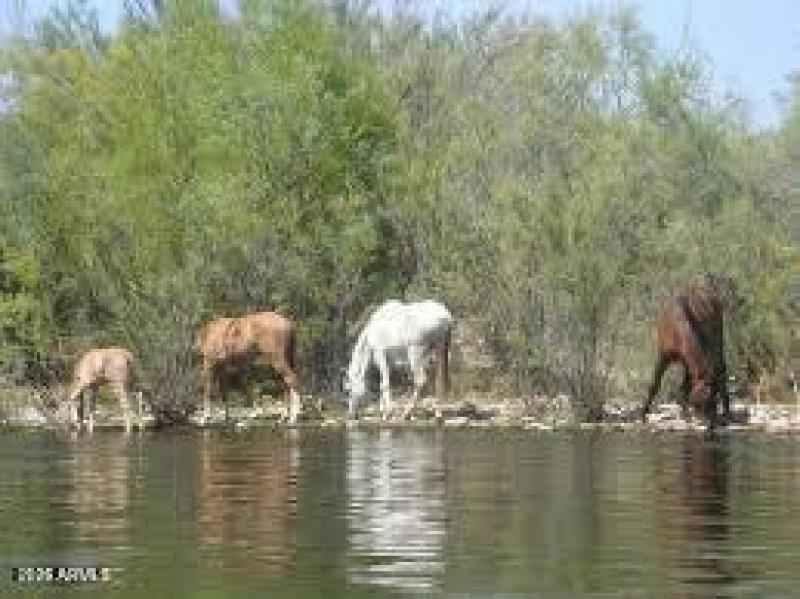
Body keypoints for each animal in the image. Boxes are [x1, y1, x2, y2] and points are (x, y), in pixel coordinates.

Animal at [641, 284, 731, 426]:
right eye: (698, 403)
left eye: (714, 402)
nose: (710, 426)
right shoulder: (664, 356)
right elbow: (655, 384)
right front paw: (643, 414)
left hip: (717, 337)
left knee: (721, 366)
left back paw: (727, 412)